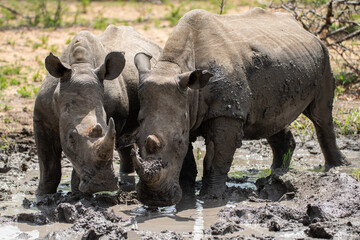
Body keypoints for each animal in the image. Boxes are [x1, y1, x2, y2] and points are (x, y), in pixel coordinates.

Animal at [34, 24, 162, 195]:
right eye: (71, 137)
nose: (103, 185)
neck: (80, 66)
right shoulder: (41, 118)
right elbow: (48, 165)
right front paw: (42, 195)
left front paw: (78, 193)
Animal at [134, 8, 350, 205]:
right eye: (135, 140)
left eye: (178, 141)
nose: (154, 200)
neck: (175, 67)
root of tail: (306, 30)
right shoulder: (185, 112)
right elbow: (187, 161)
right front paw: (186, 196)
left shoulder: (227, 112)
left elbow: (217, 158)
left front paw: (210, 198)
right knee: (273, 119)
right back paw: (276, 174)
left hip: (324, 55)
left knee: (321, 115)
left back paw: (337, 167)